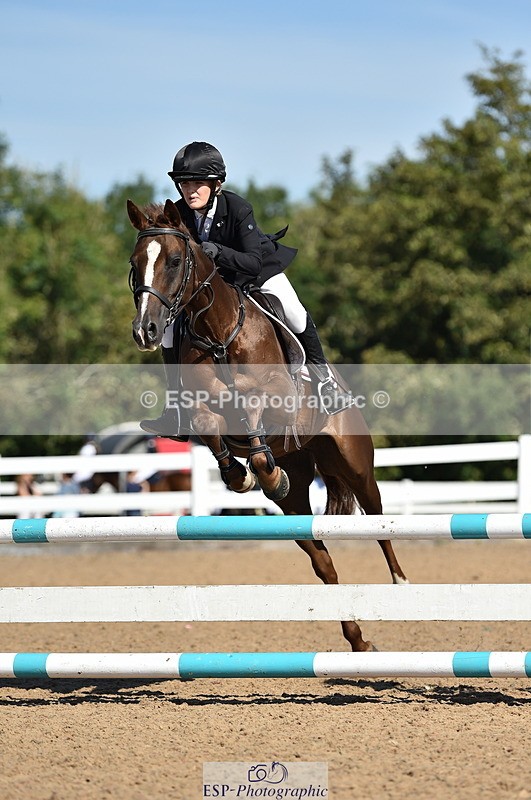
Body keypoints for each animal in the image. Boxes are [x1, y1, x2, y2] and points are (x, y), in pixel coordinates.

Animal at [127, 199, 408, 652]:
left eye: (173, 261)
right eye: (136, 264)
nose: (146, 331)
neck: (218, 332)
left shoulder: (278, 396)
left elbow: (254, 404)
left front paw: (257, 470)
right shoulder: (201, 408)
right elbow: (209, 424)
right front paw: (240, 475)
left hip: (355, 464)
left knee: (379, 520)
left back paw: (401, 584)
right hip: (296, 497)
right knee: (323, 561)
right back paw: (358, 639)